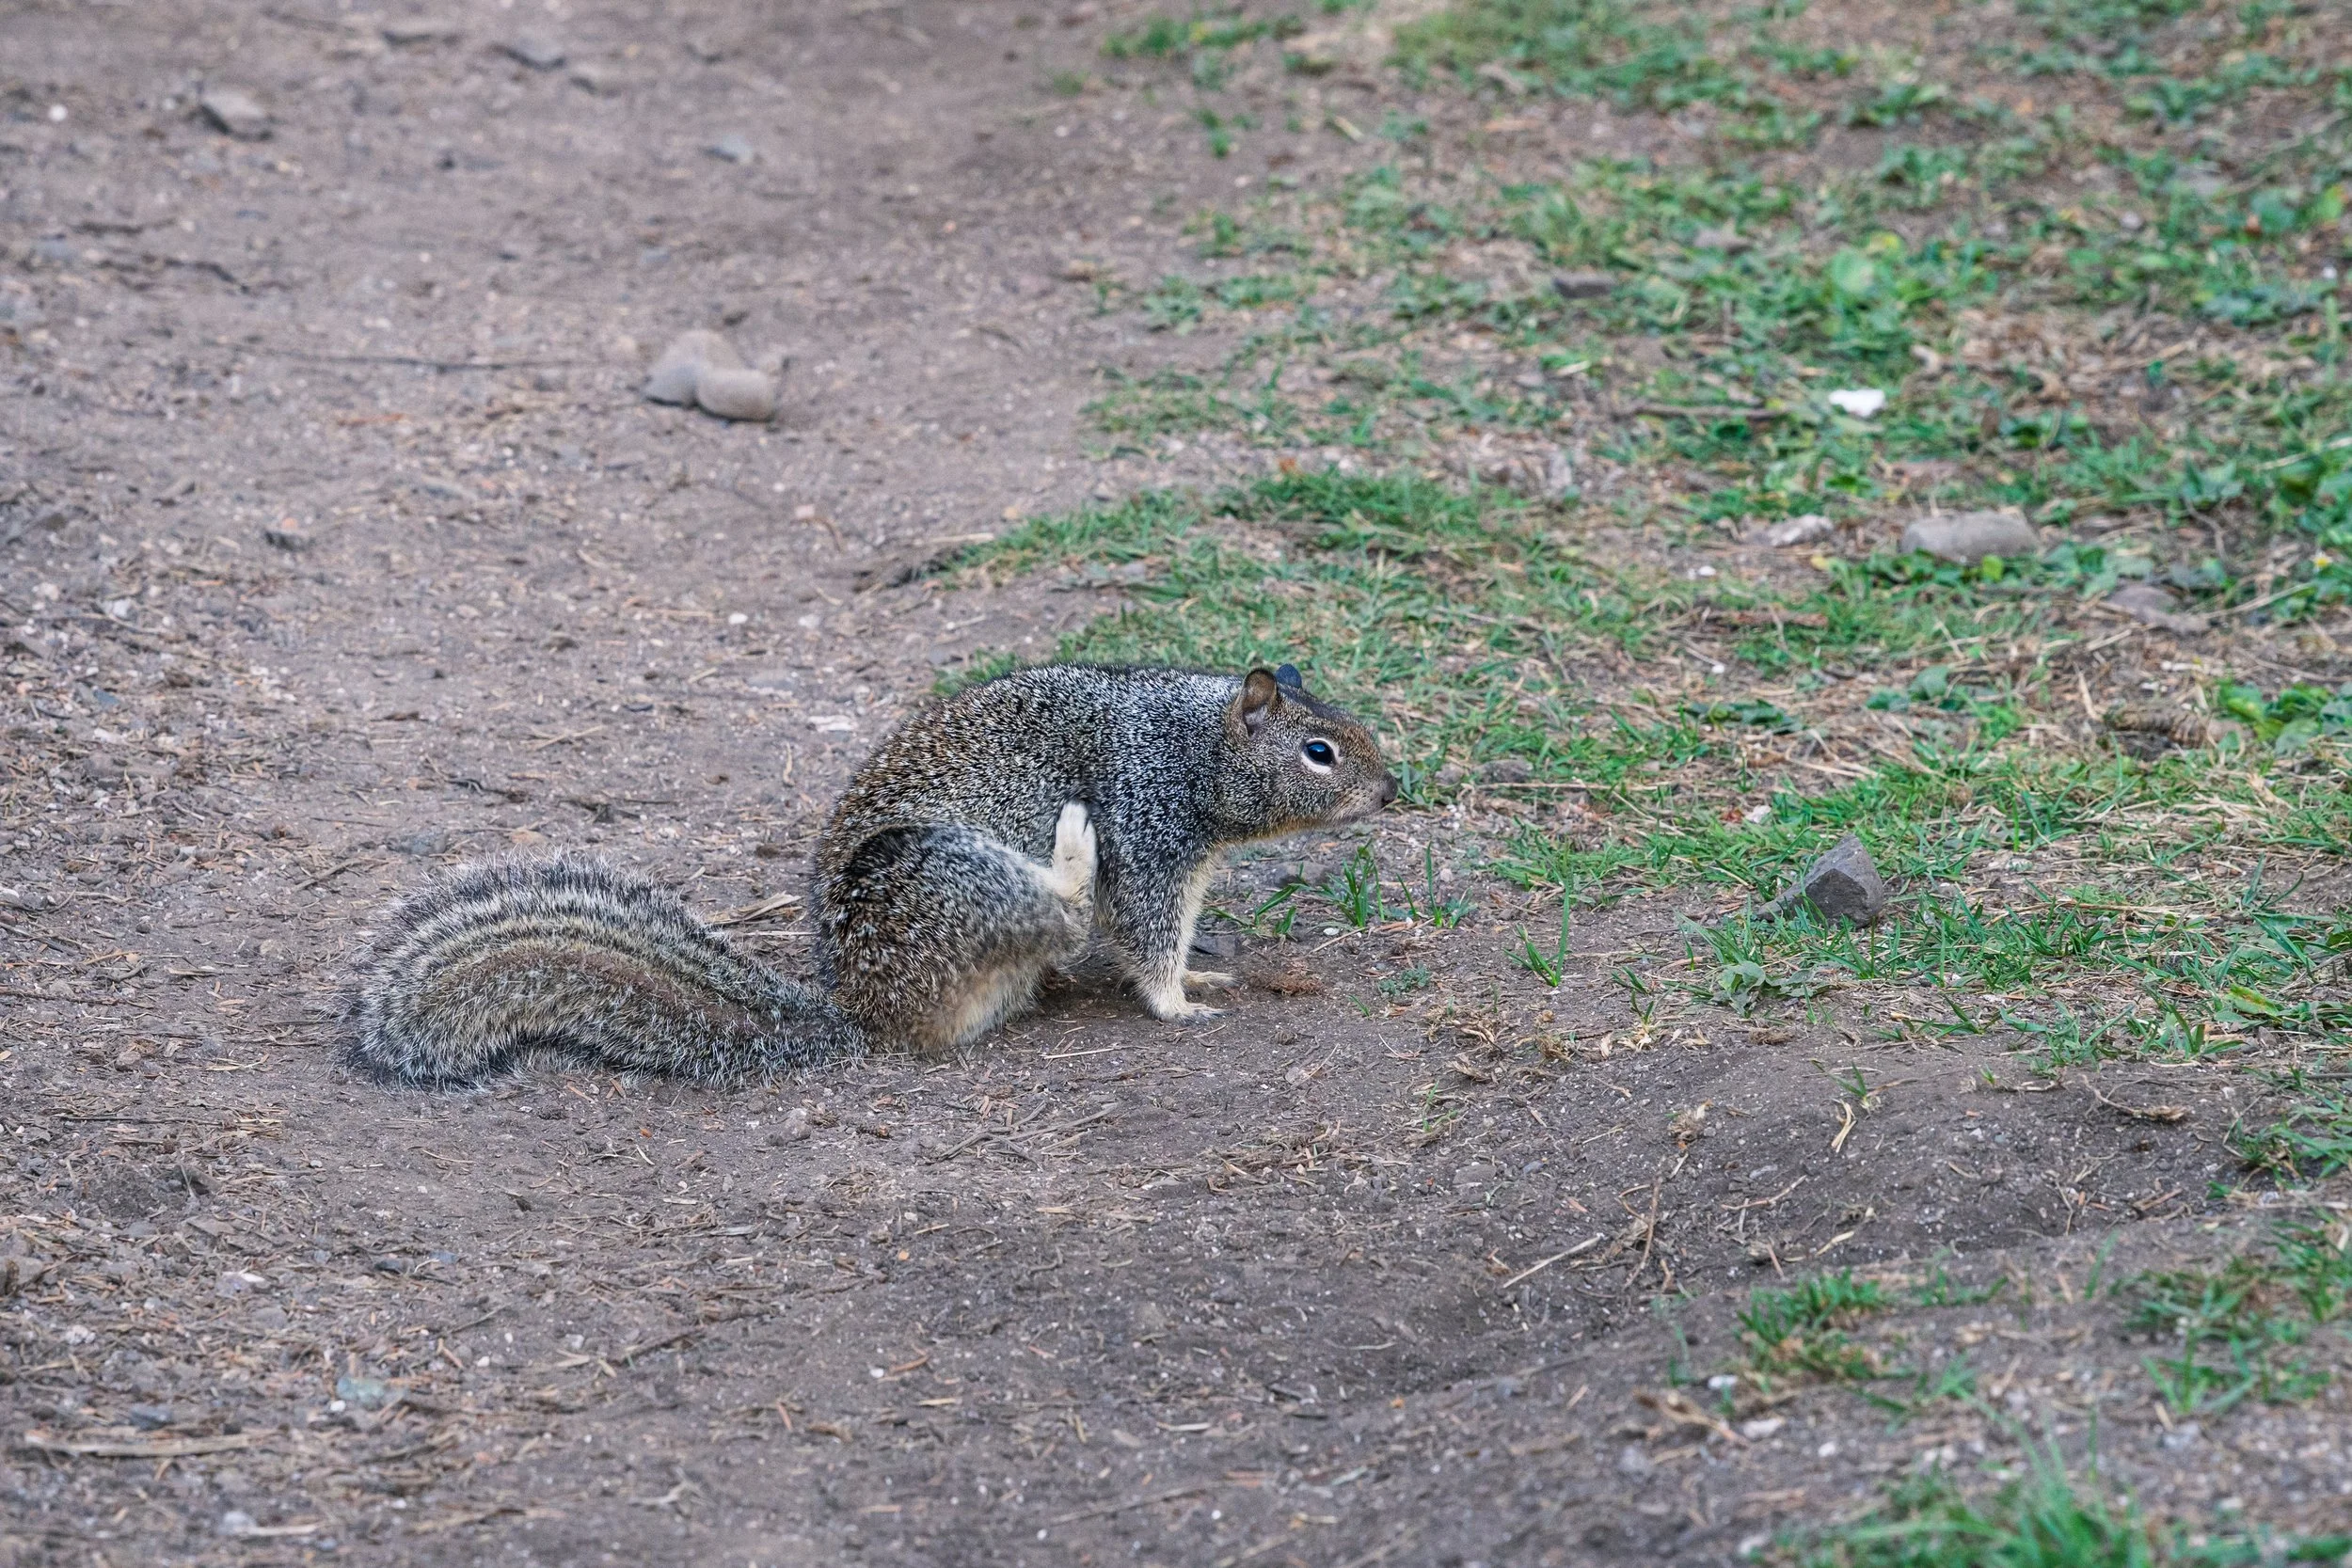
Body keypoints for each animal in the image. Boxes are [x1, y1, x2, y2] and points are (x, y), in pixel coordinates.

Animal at [341, 662, 1397, 1087]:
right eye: (1319, 751)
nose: (1397, 786)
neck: (1189, 742)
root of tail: (867, 1008)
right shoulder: (1149, 829)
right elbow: (1145, 931)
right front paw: (1180, 1000)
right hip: (952, 872)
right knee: (1059, 912)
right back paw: (1067, 851)